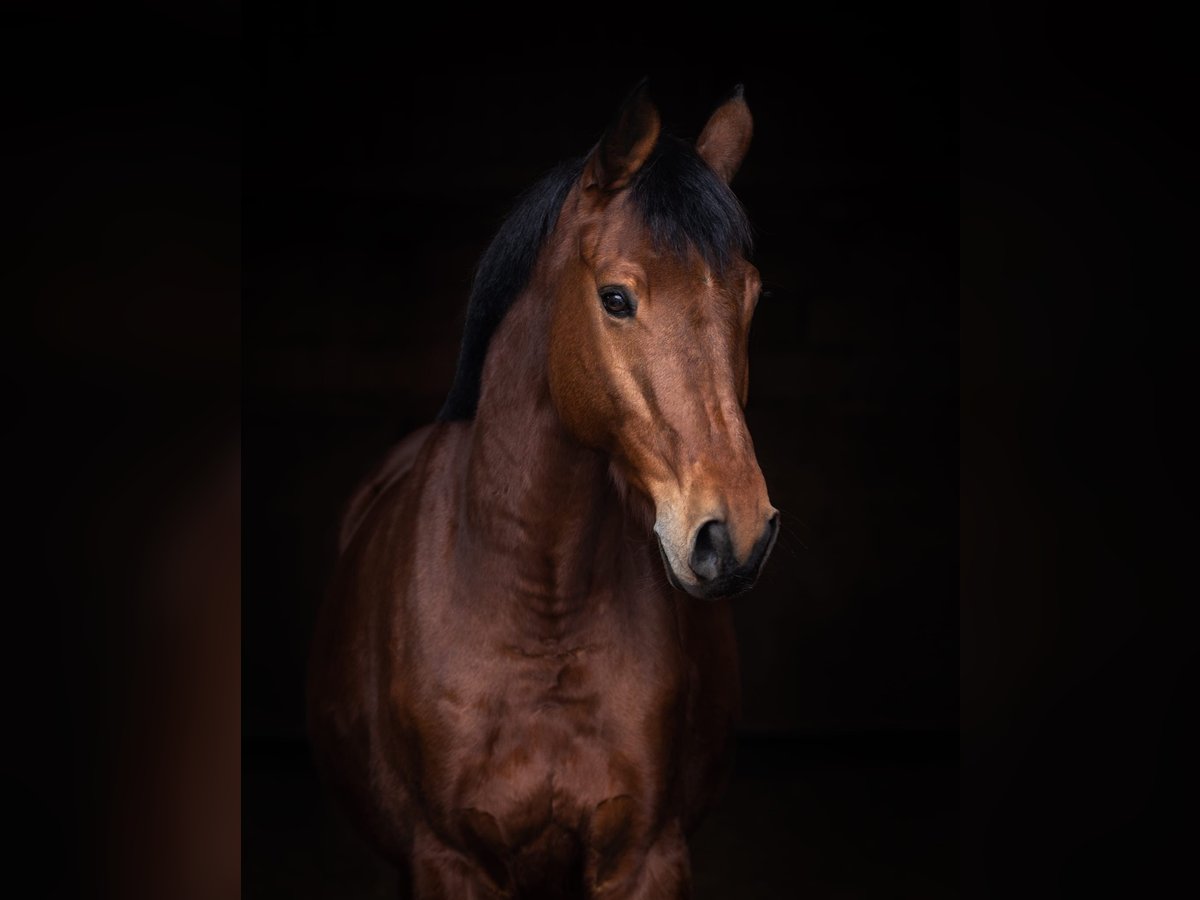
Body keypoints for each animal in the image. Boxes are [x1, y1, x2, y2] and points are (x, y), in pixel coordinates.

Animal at [308, 82, 778, 899]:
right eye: (616, 298)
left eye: (748, 295)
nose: (736, 535)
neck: (540, 612)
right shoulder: (449, 860)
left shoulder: (645, 857)